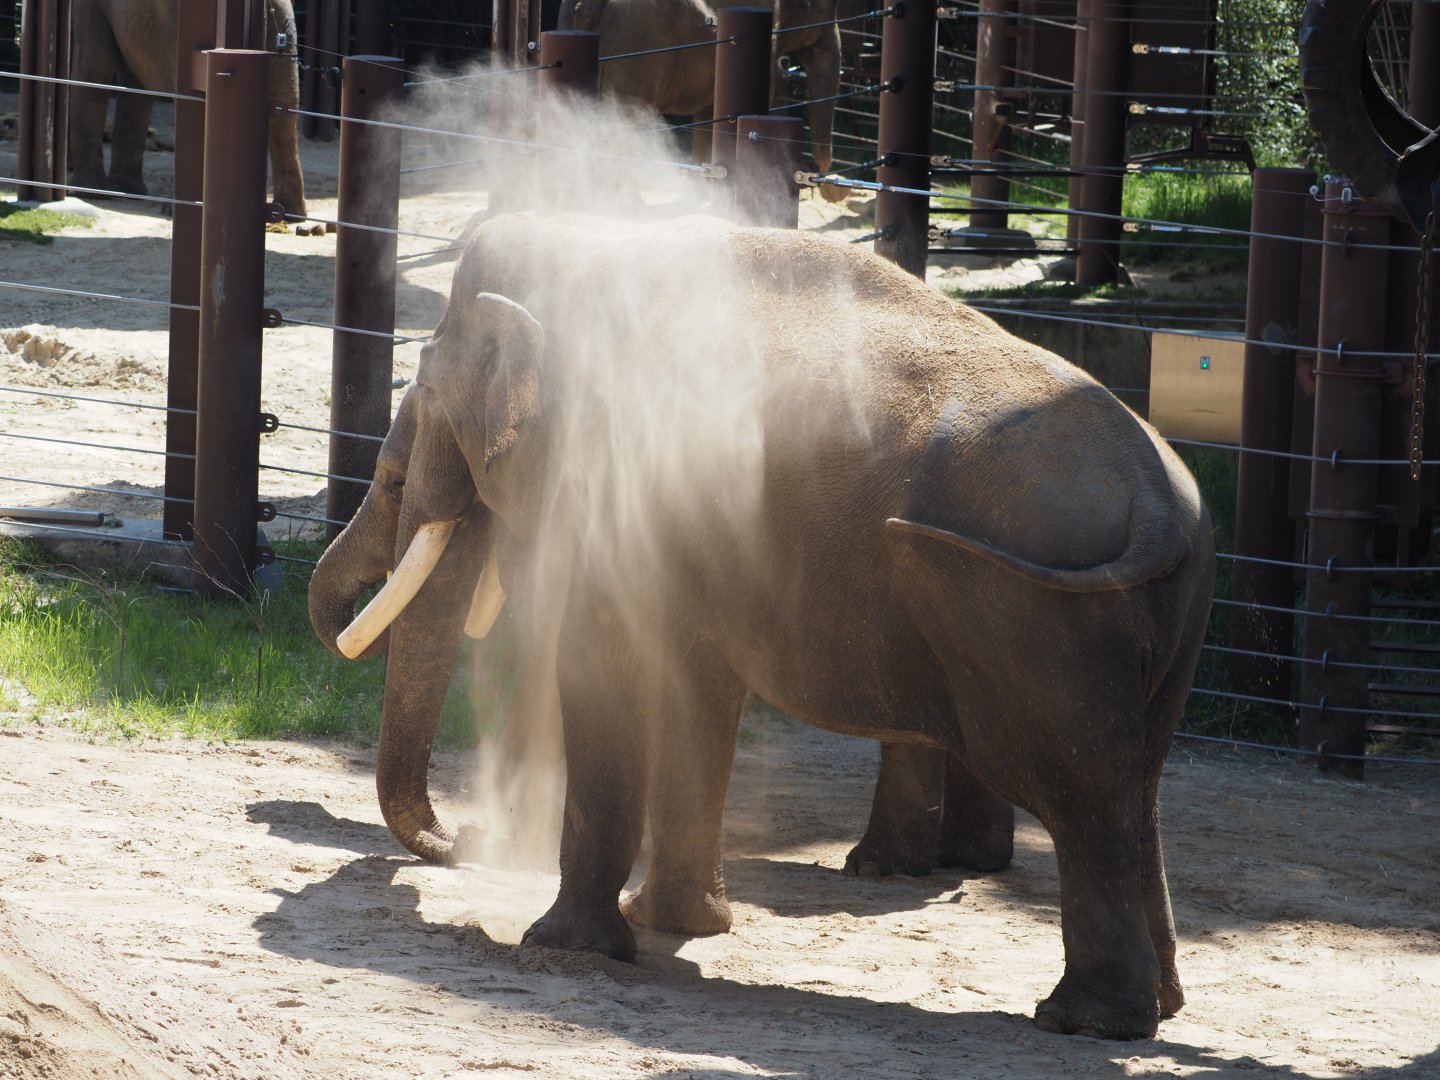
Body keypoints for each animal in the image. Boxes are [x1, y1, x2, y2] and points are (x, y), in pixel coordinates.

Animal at [69, 0, 308, 221]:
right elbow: (133, 83)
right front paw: (125, 190)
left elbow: (96, 70)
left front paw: (91, 193)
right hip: (284, 28)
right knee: (286, 107)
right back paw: (290, 215)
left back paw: (175, 210)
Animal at [307, 212, 1215, 1040]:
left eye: (400, 469)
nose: (465, 835)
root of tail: (1155, 495)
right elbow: (695, 685)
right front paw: (675, 924)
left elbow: (608, 668)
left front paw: (567, 945)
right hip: (1162, 614)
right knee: (1135, 787)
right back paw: (1157, 1007)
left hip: (1040, 623)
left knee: (1079, 795)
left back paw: (1083, 1022)